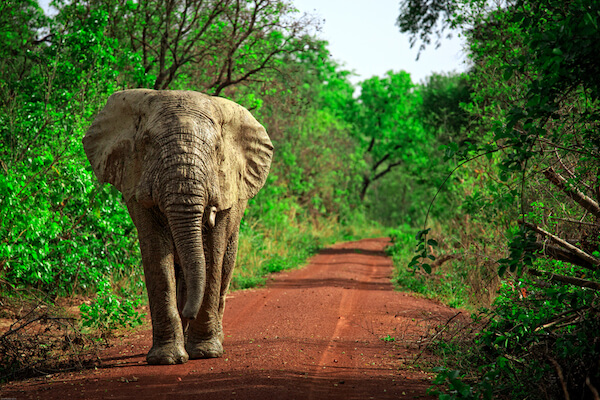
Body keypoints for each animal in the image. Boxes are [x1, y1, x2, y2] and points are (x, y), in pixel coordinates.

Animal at [82, 90, 274, 366]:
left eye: (217, 148)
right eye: (147, 142)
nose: (189, 313)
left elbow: (212, 255)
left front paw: (205, 353)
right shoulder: (134, 180)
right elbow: (157, 256)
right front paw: (167, 358)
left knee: (224, 265)